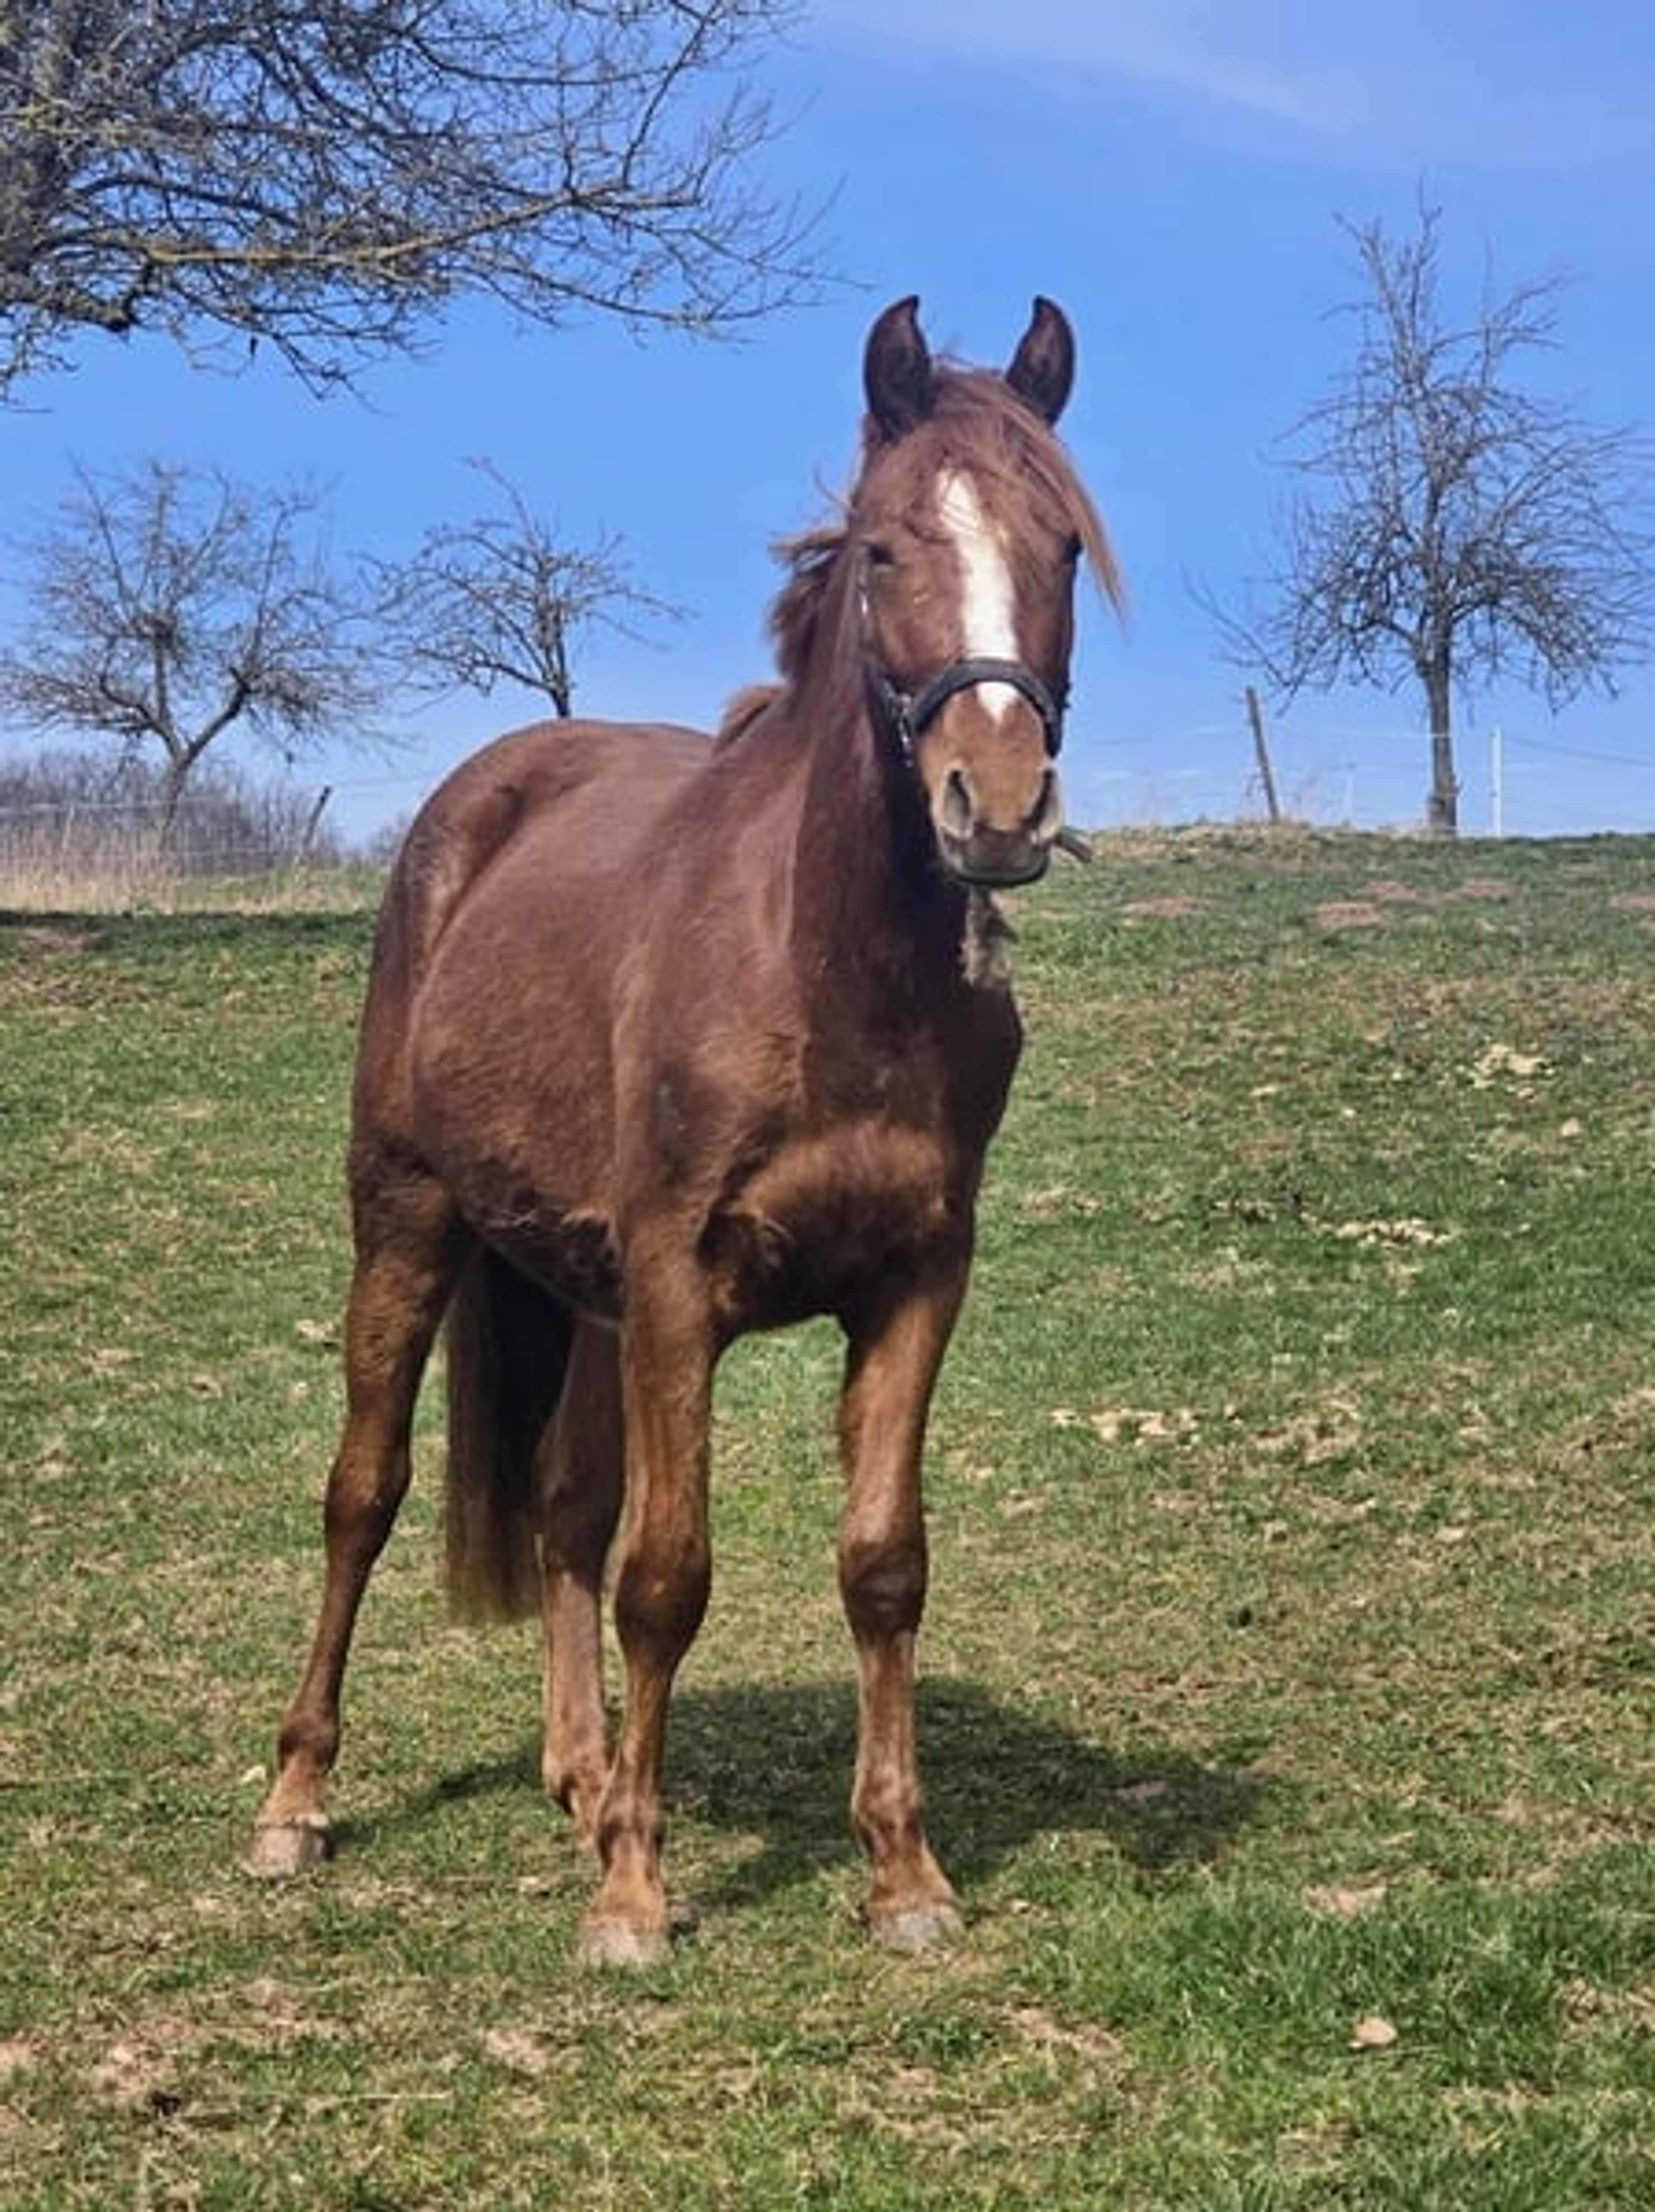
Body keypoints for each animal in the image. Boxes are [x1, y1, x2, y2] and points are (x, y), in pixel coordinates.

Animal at [244, 295, 1122, 1964]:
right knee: (362, 1495)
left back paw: (585, 1778)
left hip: (579, 1292)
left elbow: (880, 1565)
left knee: (561, 1517)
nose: (995, 807)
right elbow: (669, 1575)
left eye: (1061, 545)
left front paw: (902, 1876)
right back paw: (298, 1805)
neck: (826, 970)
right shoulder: (676, 1290)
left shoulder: (914, 1286)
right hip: (410, 1220)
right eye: (884, 549)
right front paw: (635, 1901)